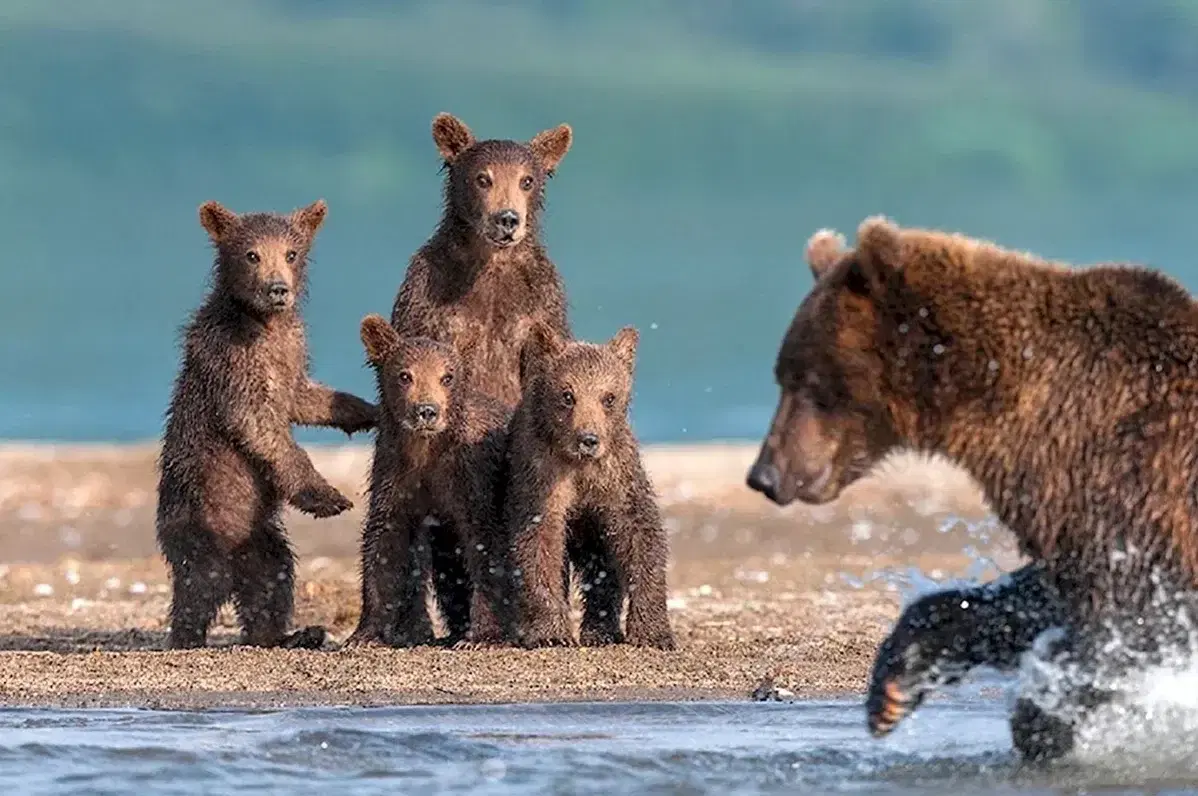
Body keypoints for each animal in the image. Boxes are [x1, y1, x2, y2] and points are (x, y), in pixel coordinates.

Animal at [156, 199, 378, 650]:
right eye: (252, 254)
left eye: (291, 253)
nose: (278, 289)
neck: (262, 324)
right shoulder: (232, 360)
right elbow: (259, 426)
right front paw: (327, 496)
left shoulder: (291, 350)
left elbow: (304, 398)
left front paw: (367, 410)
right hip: (197, 516)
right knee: (199, 584)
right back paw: (186, 635)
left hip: (259, 534)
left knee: (271, 575)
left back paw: (289, 632)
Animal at [345, 315, 511, 649]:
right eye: (405, 375)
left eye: (447, 376)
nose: (426, 411)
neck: (427, 450)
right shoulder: (395, 475)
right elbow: (384, 544)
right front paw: (365, 634)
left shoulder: (472, 476)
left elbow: (486, 541)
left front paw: (483, 636)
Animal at [390, 112, 574, 408]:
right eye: (483, 178)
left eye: (526, 180)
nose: (507, 218)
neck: (491, 261)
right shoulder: (427, 292)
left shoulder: (542, 301)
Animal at [500, 323, 674, 650]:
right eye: (568, 395)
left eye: (609, 397)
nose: (589, 439)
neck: (578, 463)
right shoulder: (542, 475)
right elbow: (538, 542)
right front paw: (551, 632)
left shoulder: (616, 475)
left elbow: (640, 534)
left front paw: (653, 632)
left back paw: (601, 631)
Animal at [747, 215, 1198, 761]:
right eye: (782, 375)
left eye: (808, 380)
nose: (765, 474)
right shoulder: (1074, 504)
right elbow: (1033, 595)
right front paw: (895, 687)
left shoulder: (1130, 478)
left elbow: (1133, 616)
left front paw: (1043, 720)